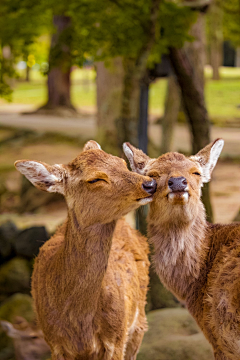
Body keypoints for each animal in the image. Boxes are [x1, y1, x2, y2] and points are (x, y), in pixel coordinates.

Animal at [14, 141, 158, 360]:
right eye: (95, 178)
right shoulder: (53, 342)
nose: (150, 184)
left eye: (122, 163)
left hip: (138, 323)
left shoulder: (117, 338)